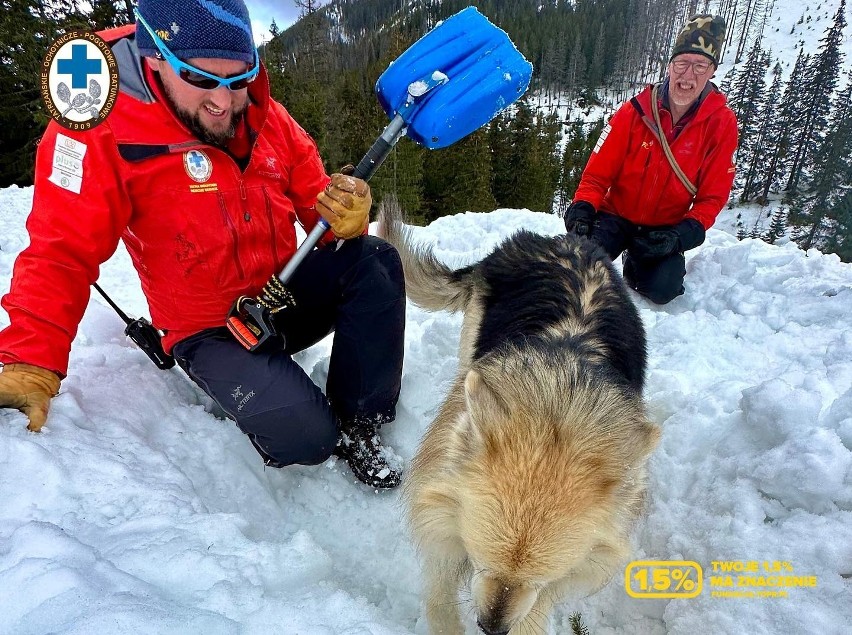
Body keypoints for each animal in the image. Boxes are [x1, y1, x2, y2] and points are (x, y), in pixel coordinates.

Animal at [376, 200, 664, 635]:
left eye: (538, 578)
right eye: (482, 562)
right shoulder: (442, 517)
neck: (558, 407)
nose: (491, 628)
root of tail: (567, 240)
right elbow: (441, 594)